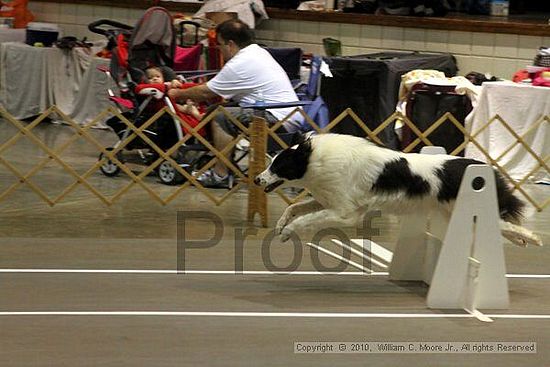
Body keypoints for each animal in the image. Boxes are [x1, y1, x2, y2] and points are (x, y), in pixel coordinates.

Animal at [256, 132, 544, 247]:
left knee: (509, 225)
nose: (257, 180)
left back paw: (533, 238)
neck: (315, 158)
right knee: (503, 226)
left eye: (278, 165)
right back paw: (521, 240)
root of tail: (484, 168)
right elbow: (296, 207)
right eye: (271, 162)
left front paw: (288, 233)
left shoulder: (345, 212)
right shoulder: (331, 201)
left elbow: (306, 219)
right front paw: (281, 226)